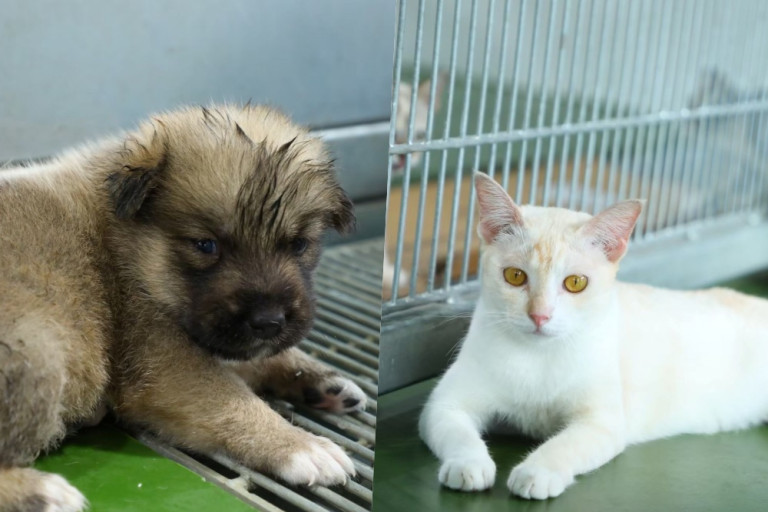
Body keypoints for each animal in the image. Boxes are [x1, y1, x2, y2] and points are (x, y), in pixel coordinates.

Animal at [0, 104, 367, 511]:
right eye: (206, 245)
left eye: (299, 245)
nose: (269, 322)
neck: (129, 249)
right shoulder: (165, 366)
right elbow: (235, 401)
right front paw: (300, 445)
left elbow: (259, 359)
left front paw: (319, 379)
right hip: (39, 352)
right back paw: (40, 492)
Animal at [419, 171, 768, 500]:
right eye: (515, 276)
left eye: (575, 283)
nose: (540, 315)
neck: (538, 357)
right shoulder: (444, 404)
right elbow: (459, 433)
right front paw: (468, 464)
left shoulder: (601, 422)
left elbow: (564, 445)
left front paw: (537, 472)